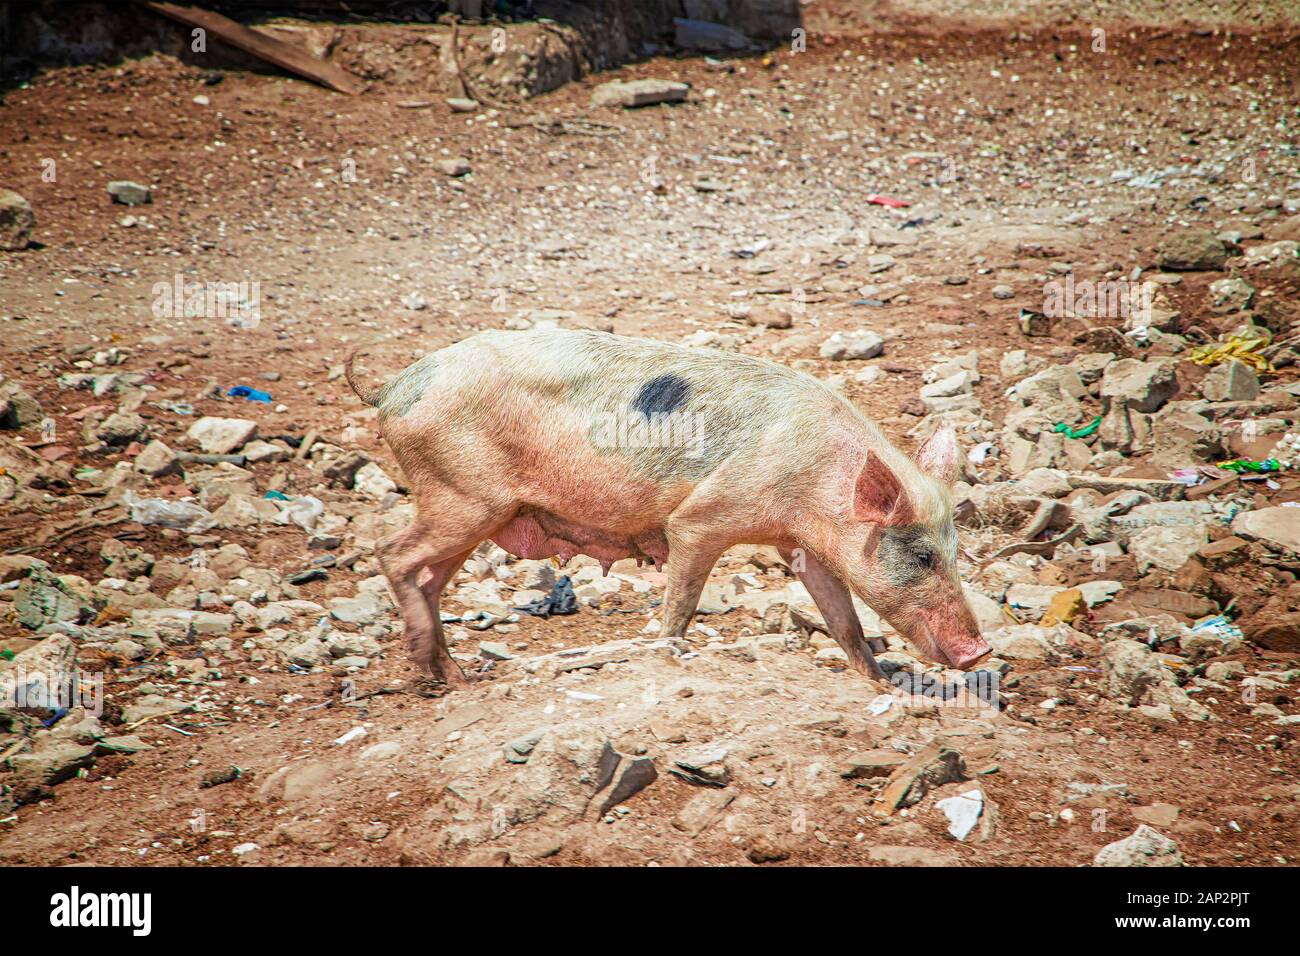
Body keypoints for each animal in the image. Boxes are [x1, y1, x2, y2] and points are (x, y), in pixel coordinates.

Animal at [345, 329, 982, 686]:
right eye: (922, 557)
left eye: (956, 553)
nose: (981, 651)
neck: (814, 484)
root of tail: (393, 386)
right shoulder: (703, 518)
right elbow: (682, 598)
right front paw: (667, 651)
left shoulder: (803, 544)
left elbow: (843, 618)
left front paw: (881, 687)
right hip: (461, 495)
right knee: (391, 552)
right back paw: (431, 666)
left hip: (479, 510)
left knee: (428, 577)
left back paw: (453, 677)